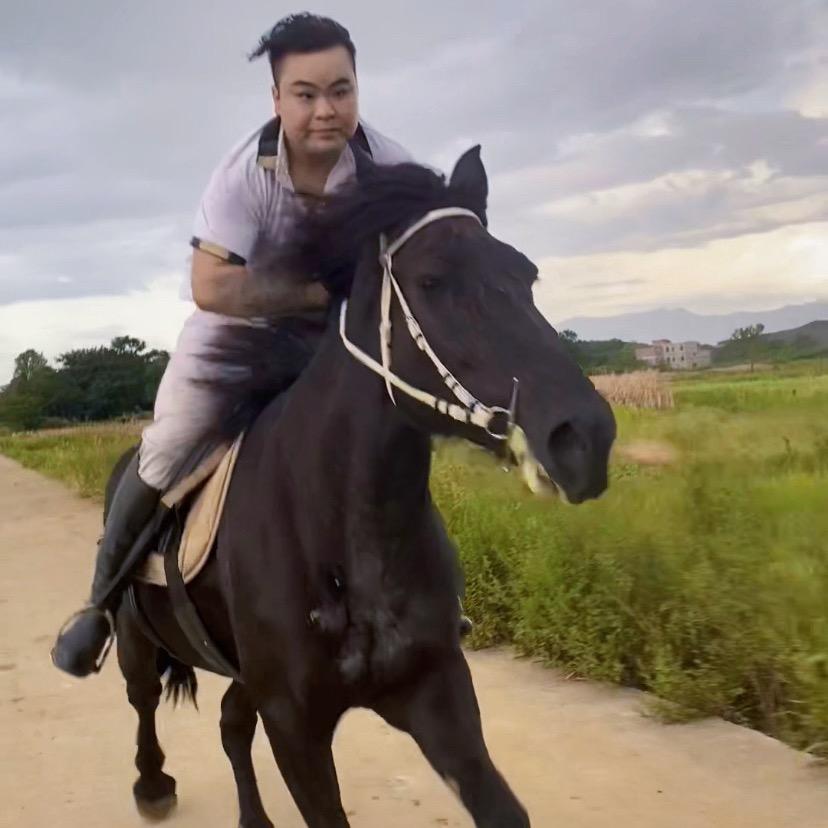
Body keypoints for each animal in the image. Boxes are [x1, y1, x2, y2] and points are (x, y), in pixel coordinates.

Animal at [111, 146, 616, 828]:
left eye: (526, 273)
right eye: (431, 280)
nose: (585, 438)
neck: (347, 539)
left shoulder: (434, 691)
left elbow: (502, 808)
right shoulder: (295, 723)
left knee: (229, 723)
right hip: (136, 639)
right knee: (143, 700)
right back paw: (151, 783)